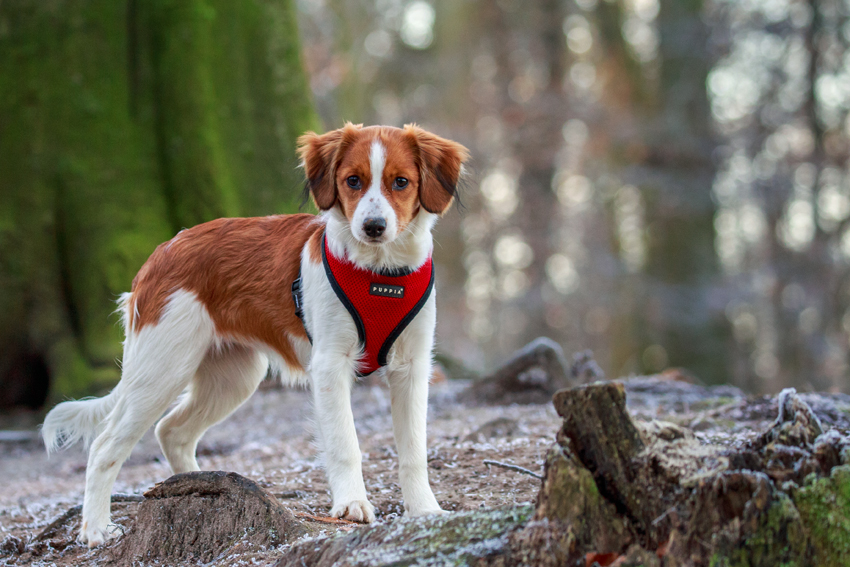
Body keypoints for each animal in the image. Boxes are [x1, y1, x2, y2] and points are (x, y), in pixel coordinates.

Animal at [41, 123, 470, 544]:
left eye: (401, 182)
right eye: (353, 181)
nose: (374, 227)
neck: (380, 274)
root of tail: (160, 253)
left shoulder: (412, 368)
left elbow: (414, 449)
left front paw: (425, 509)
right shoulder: (330, 366)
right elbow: (345, 442)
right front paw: (351, 504)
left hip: (233, 378)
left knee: (172, 431)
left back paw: (198, 486)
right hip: (161, 370)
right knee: (104, 447)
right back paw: (96, 529)